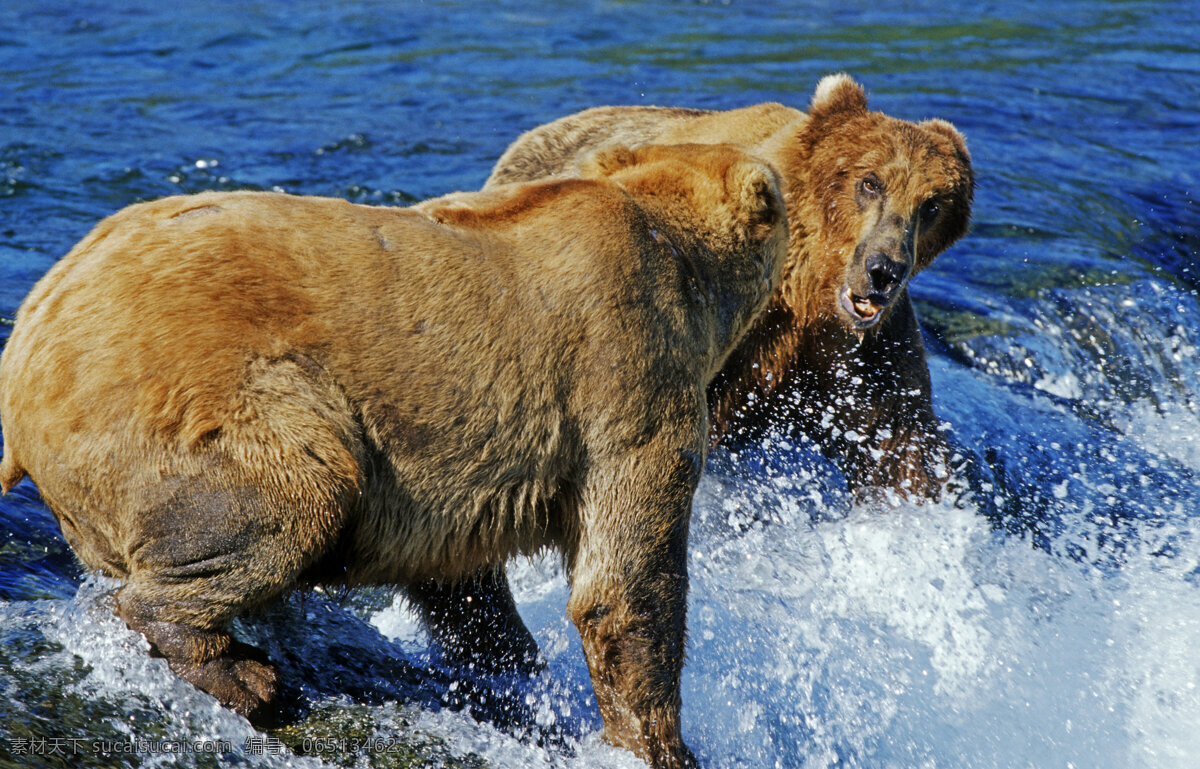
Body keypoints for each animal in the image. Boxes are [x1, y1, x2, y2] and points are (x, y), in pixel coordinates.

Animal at [0, 143, 789, 769]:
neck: (689, 270)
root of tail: (28, 332)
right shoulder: (626, 370)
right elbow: (627, 580)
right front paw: (665, 744)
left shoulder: (454, 478)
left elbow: (467, 587)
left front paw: (517, 671)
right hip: (203, 397)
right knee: (293, 494)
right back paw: (240, 672)